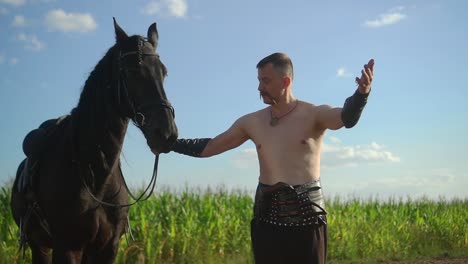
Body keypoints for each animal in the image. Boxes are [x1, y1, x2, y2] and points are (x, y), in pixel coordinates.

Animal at [9, 18, 177, 262]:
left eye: (163, 72)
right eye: (132, 71)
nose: (166, 134)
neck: (94, 179)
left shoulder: (108, 247)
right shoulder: (68, 247)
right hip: (38, 245)